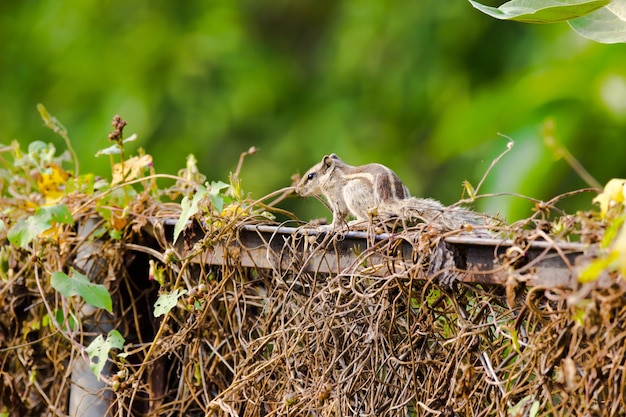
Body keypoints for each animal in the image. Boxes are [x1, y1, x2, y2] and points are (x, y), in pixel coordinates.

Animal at [294, 153, 490, 232]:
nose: (297, 190)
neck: (336, 172)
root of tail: (391, 200)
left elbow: (339, 215)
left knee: (374, 219)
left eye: (310, 176)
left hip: (353, 191)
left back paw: (358, 223)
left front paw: (327, 227)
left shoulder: (337, 196)